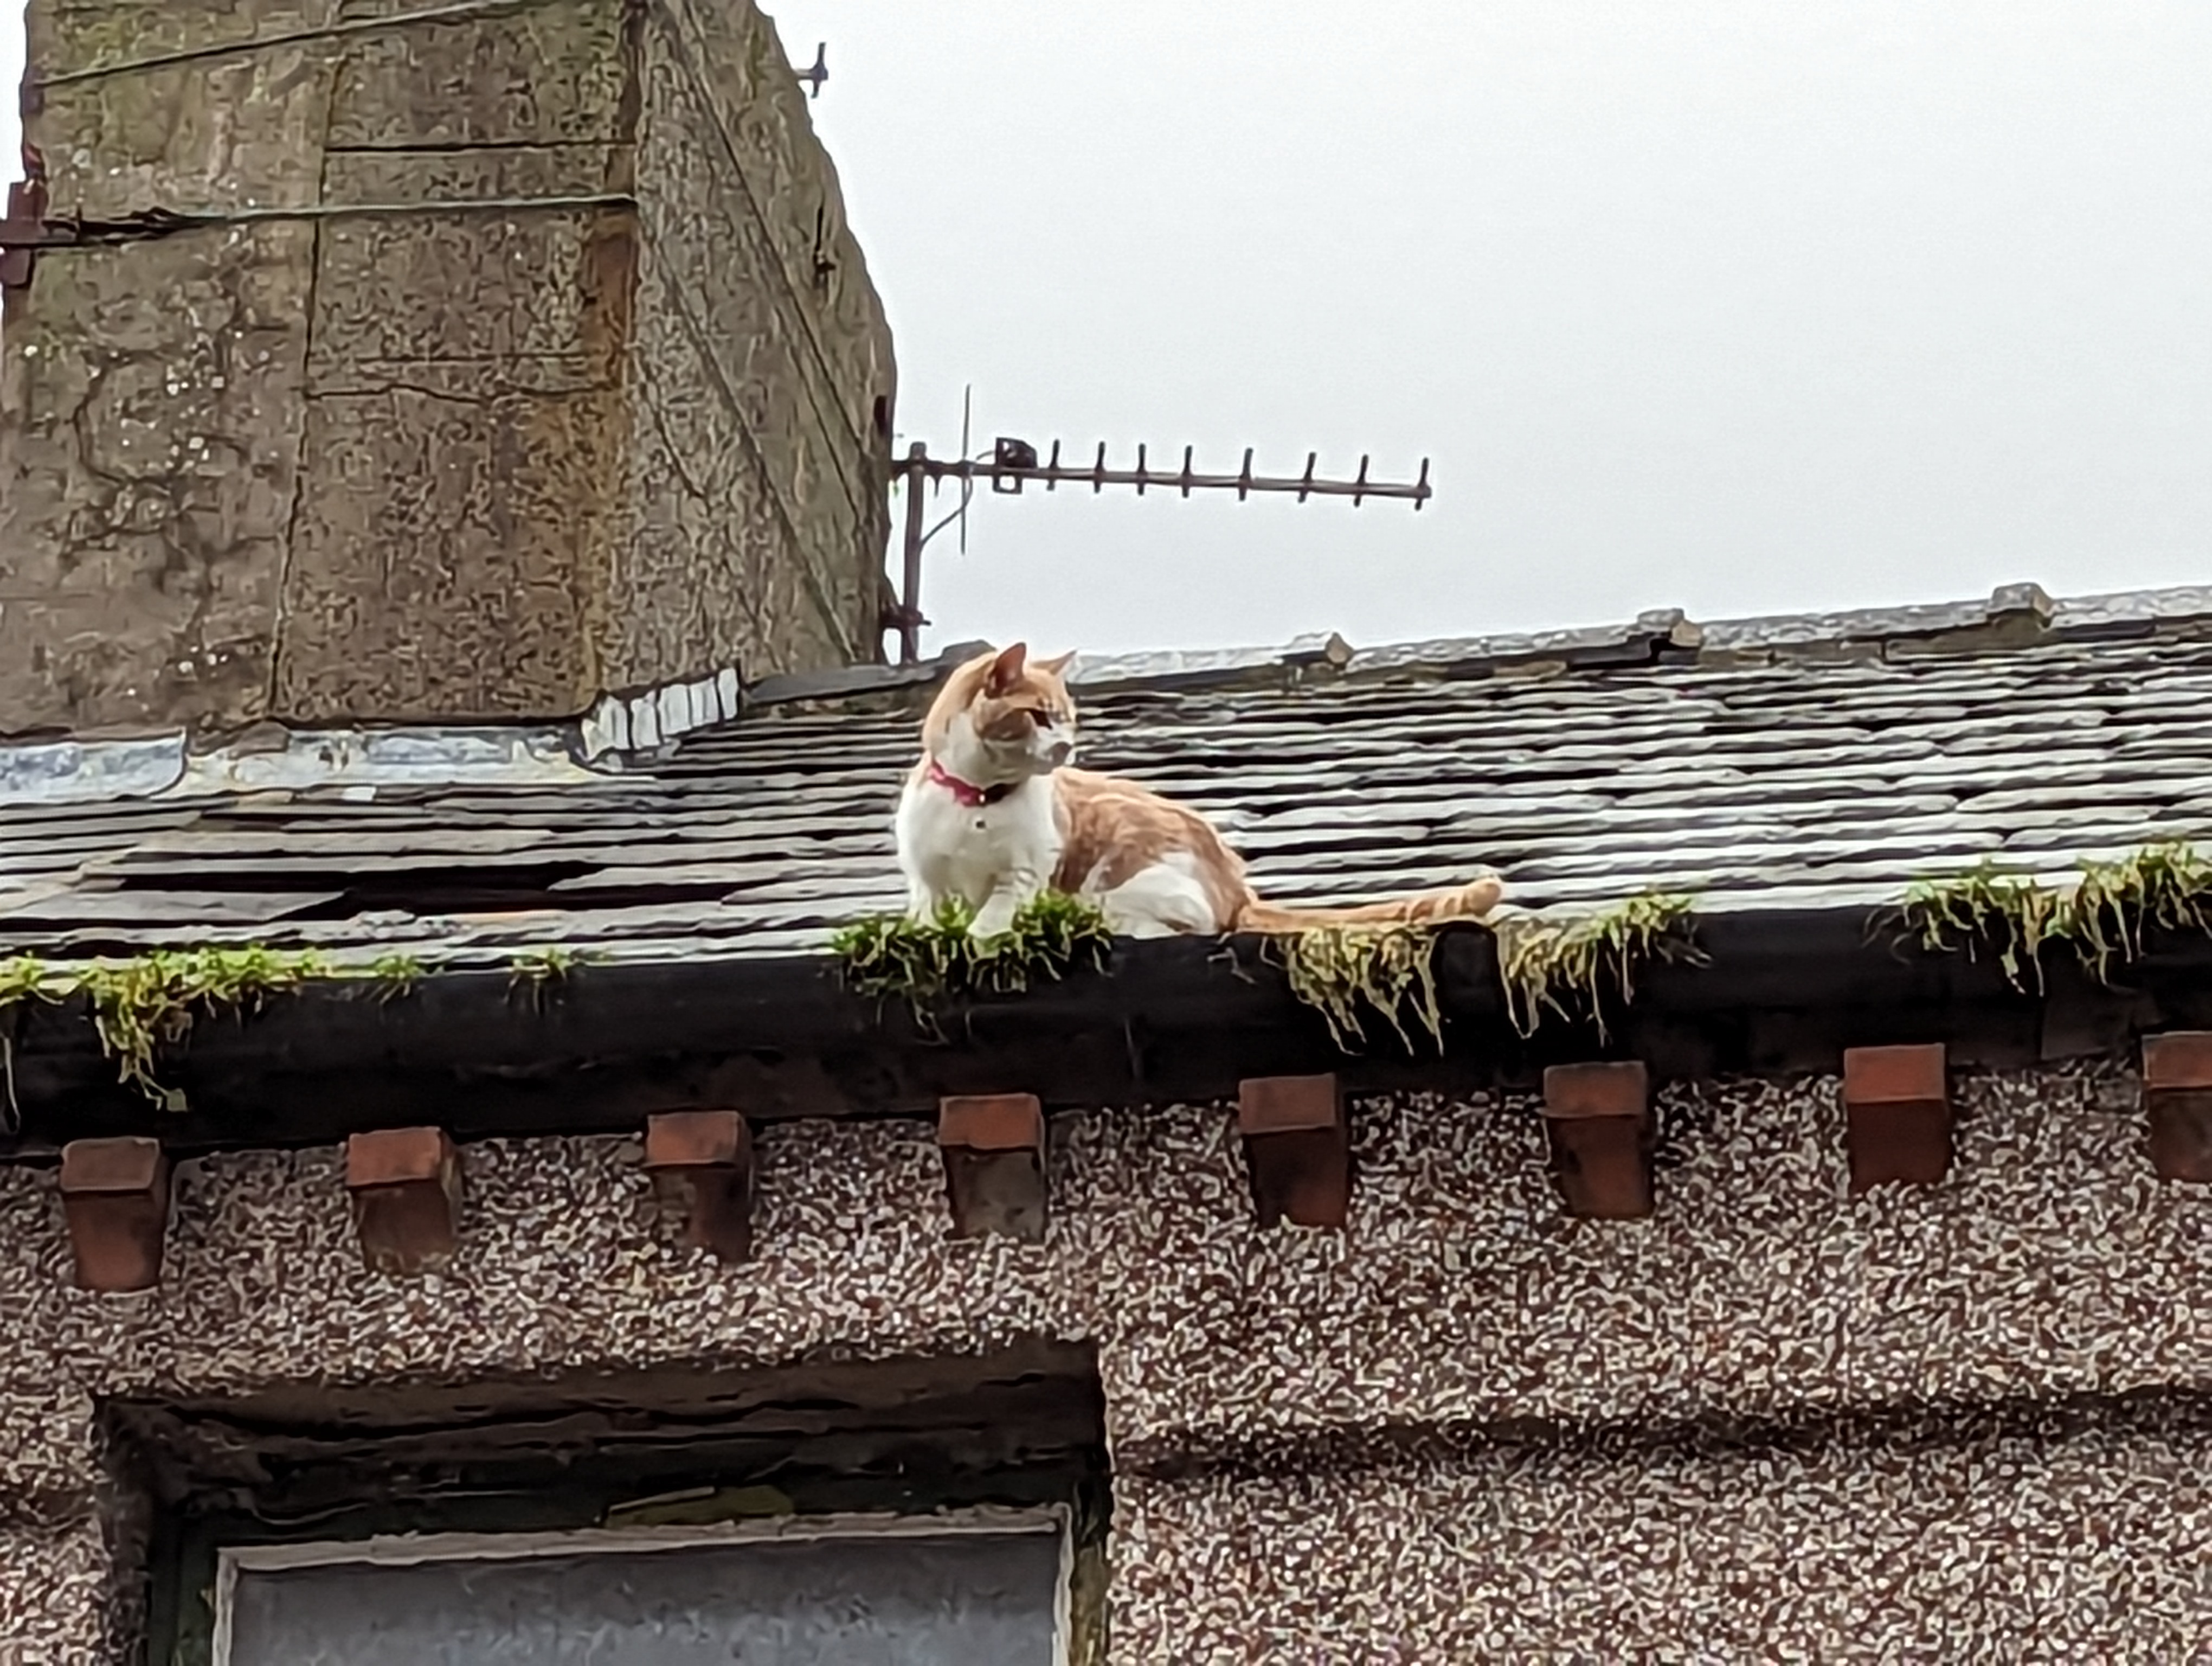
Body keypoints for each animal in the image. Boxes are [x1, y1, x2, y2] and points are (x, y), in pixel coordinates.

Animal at [898, 642, 1504, 942]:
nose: (1067, 747)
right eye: (1040, 717)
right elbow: (930, 922)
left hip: (1123, 886)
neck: (977, 798)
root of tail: (1240, 890)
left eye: (1068, 719)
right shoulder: (928, 887)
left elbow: (990, 923)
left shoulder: (1025, 873)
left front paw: (976, 939)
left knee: (1178, 924)